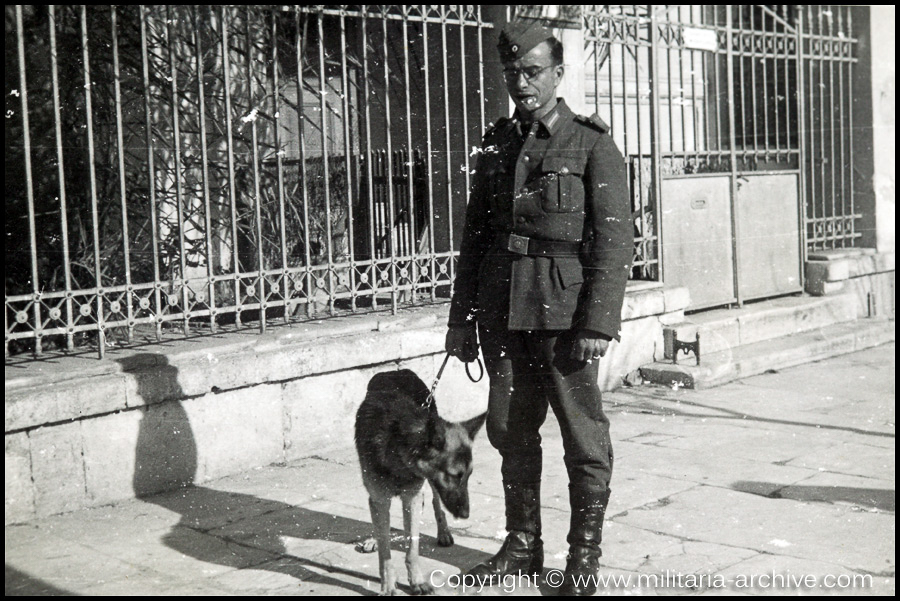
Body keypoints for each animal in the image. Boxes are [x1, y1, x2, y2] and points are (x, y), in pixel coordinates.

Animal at [356, 368, 486, 592]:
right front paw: (388, 585)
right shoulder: (380, 498)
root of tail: (397, 370)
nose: (466, 514)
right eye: (454, 475)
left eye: (469, 475)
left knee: (436, 502)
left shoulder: (412, 499)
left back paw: (443, 533)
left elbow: (413, 548)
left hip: (430, 486)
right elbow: (385, 549)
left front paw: (417, 581)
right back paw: (373, 538)